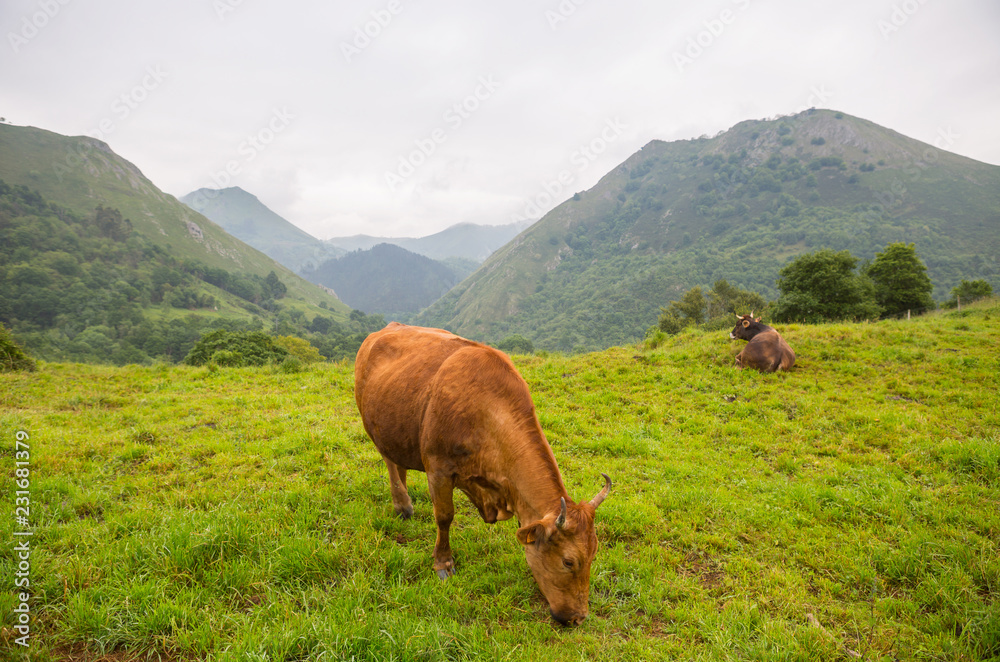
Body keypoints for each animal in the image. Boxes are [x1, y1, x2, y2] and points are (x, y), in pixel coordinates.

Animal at [354, 322, 611, 626]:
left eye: (594, 555)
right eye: (568, 561)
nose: (578, 618)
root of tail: (386, 328)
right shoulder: (438, 468)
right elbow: (444, 517)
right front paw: (443, 563)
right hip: (374, 426)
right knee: (390, 462)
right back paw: (402, 505)